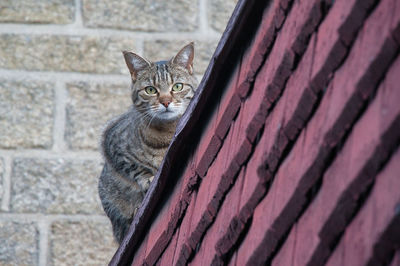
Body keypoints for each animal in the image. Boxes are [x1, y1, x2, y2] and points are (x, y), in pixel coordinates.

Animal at [97, 42, 197, 243]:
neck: (167, 132)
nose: (166, 101)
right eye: (151, 90)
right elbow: (135, 168)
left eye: (177, 87)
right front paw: (149, 178)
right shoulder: (112, 142)